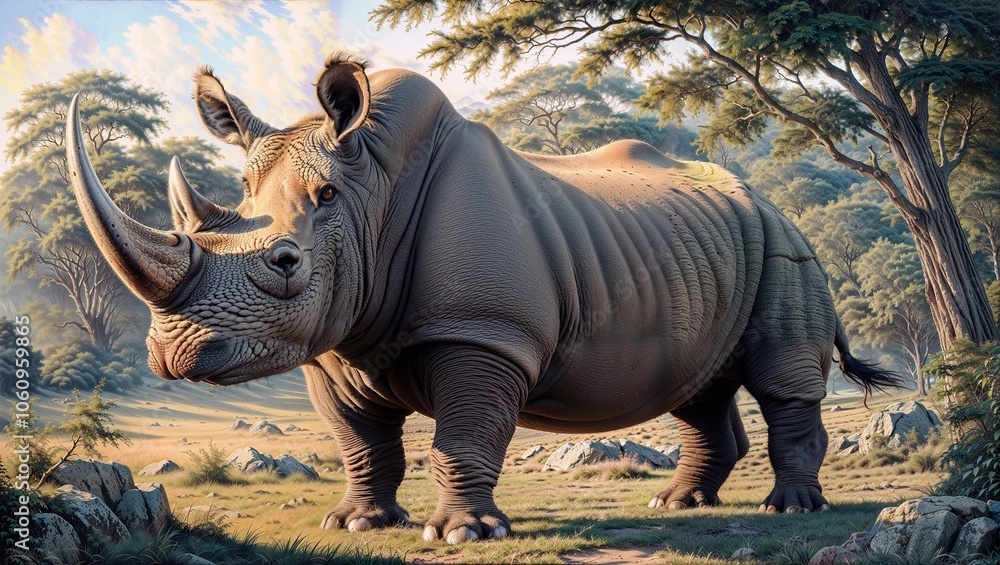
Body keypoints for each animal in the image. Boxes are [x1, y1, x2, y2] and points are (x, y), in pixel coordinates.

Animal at [67, 54, 899, 544]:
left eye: (285, 262)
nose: (173, 352)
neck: (368, 190)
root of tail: (765, 199)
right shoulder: (333, 344)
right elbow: (359, 441)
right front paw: (359, 522)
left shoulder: (482, 329)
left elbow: (463, 434)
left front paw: (461, 535)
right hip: (702, 251)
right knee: (697, 389)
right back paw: (679, 506)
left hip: (786, 246)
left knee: (780, 379)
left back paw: (789, 509)